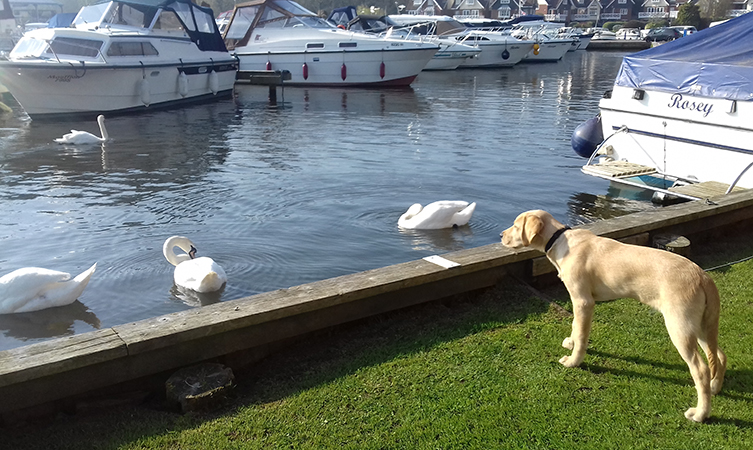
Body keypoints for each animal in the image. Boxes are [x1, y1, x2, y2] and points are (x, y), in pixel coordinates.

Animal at [500, 210, 724, 422]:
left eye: (516, 226)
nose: (501, 235)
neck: (561, 240)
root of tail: (702, 276)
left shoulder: (584, 302)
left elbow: (581, 334)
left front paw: (574, 361)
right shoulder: (577, 301)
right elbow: (575, 325)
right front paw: (571, 343)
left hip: (680, 327)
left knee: (701, 369)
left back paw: (700, 414)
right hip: (701, 327)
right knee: (719, 356)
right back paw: (714, 388)